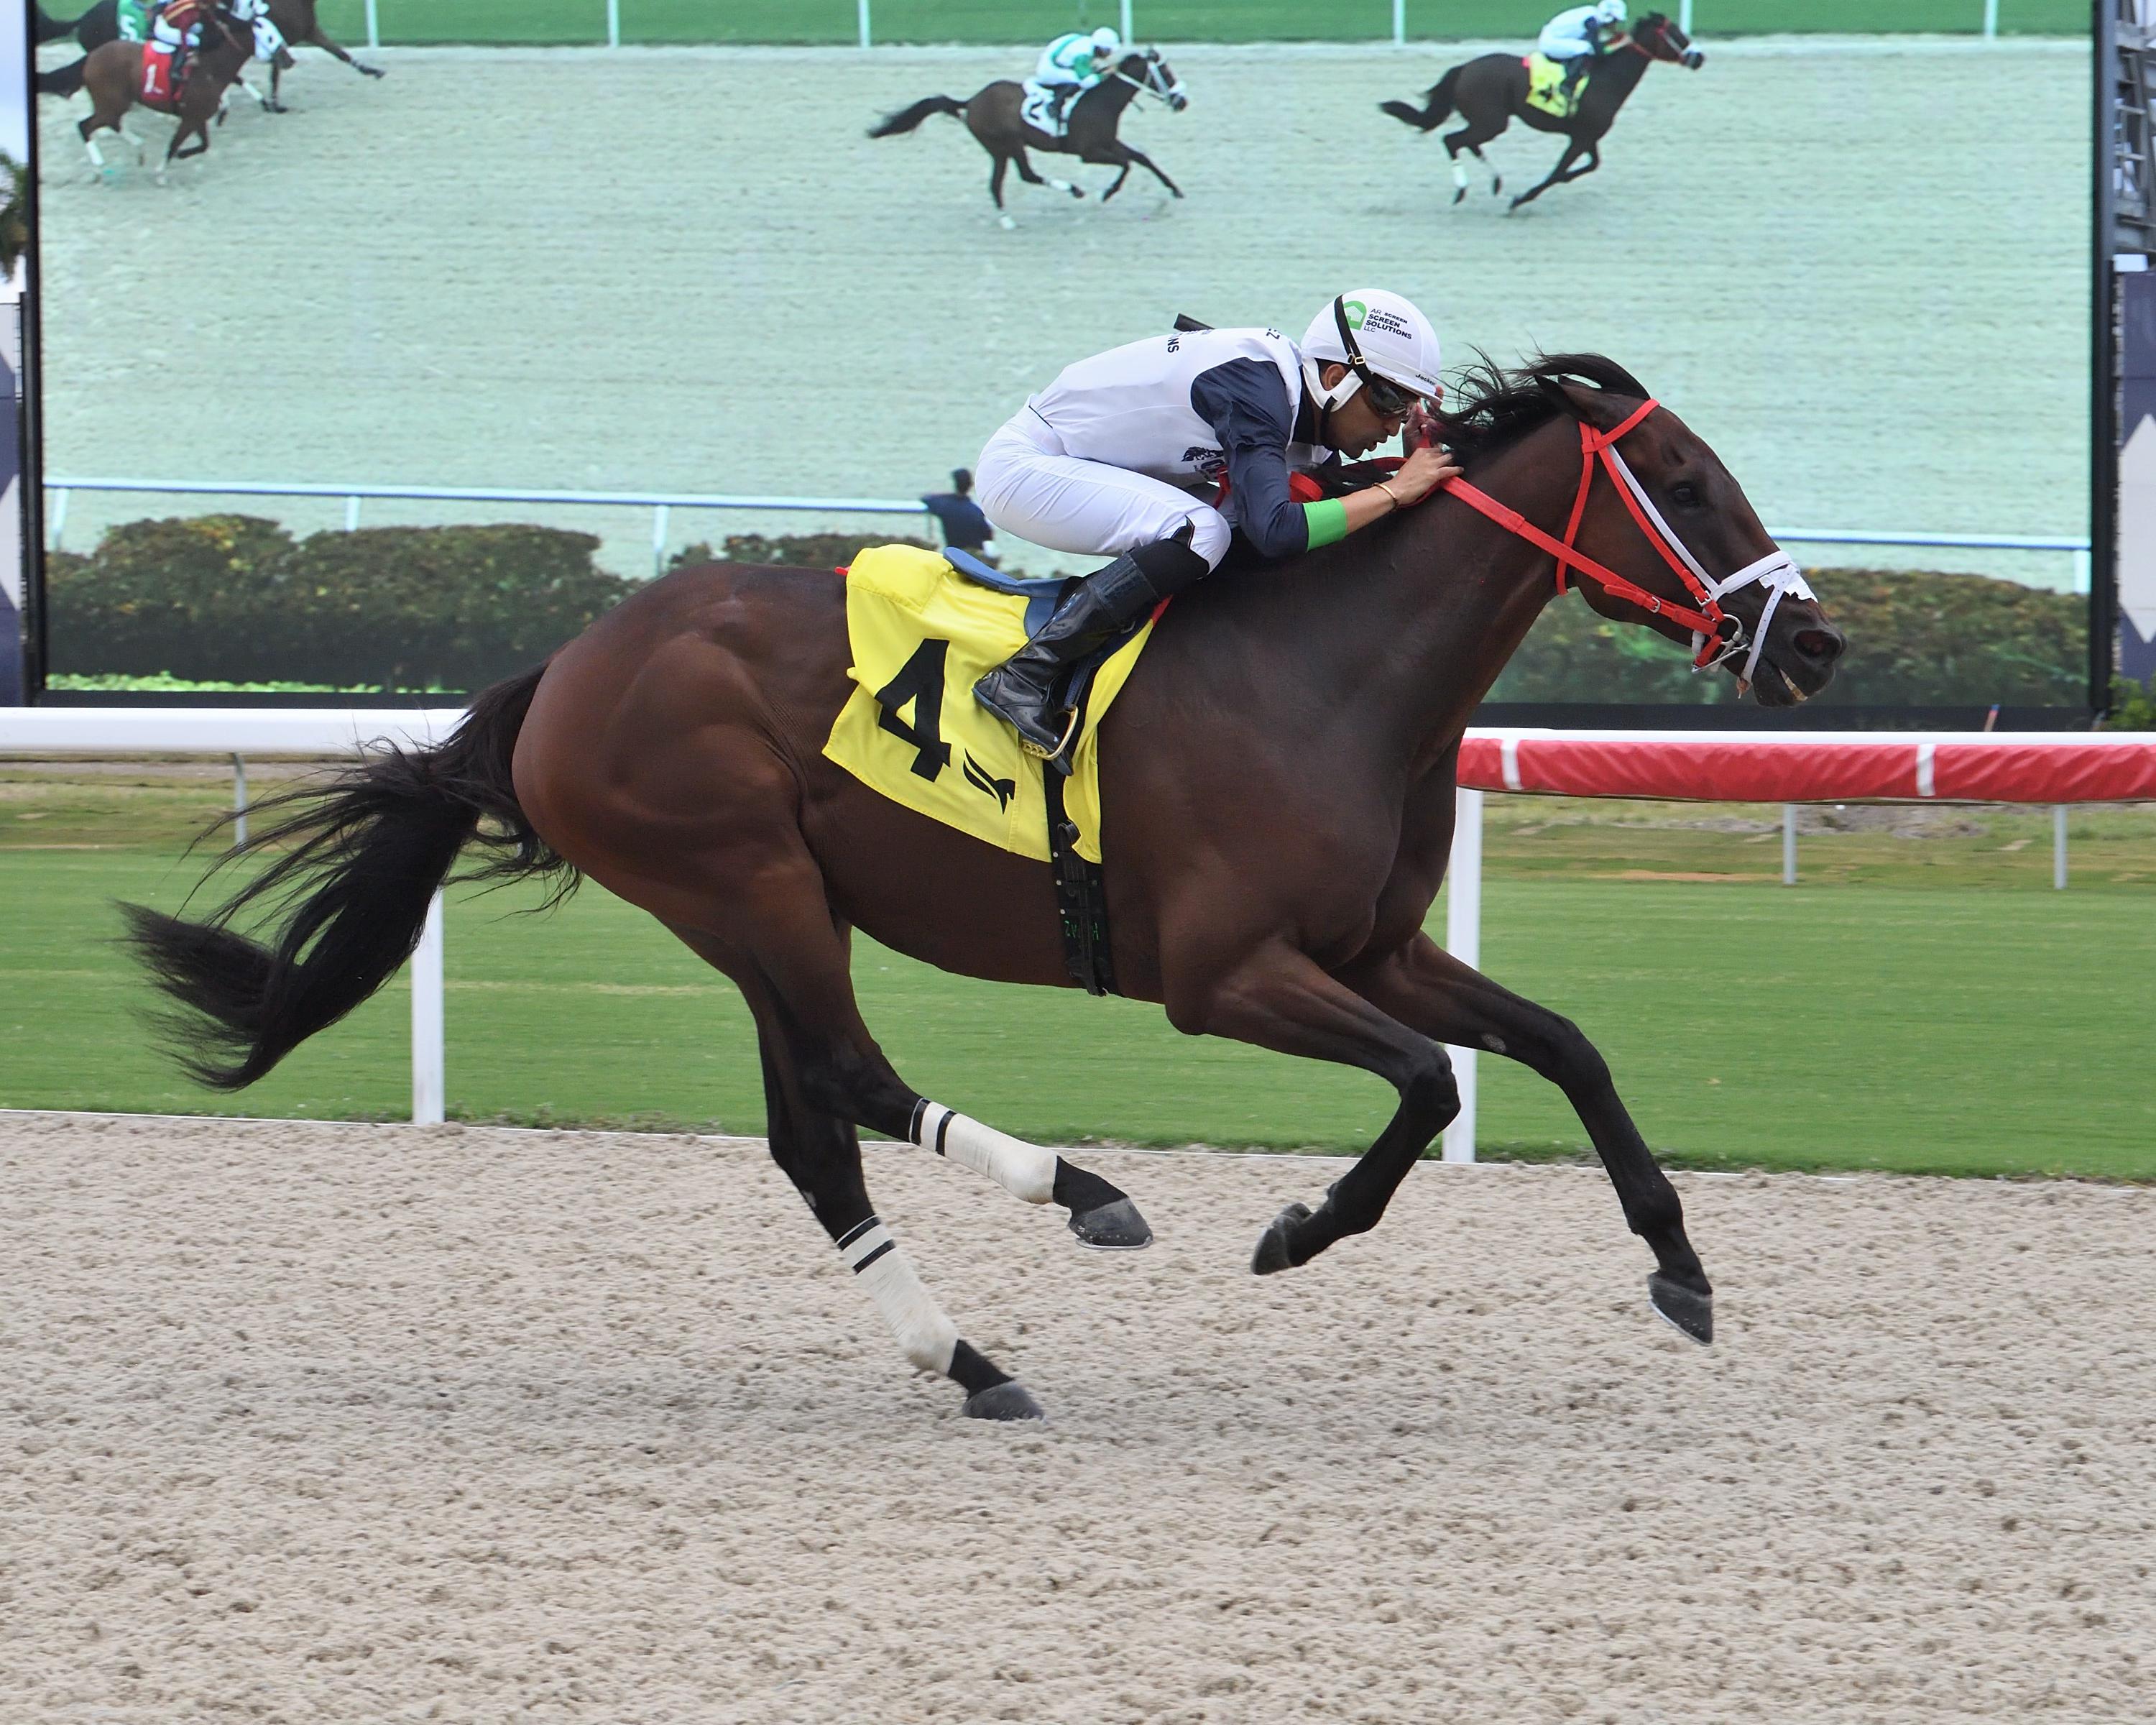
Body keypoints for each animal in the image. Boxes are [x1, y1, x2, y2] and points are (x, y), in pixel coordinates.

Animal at [126, 358, 1837, 1423]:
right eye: (1687, 479)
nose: (1814, 644)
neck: (1330, 674)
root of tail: (569, 665)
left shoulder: (1374, 948)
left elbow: (1560, 1046)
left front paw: (1681, 1267)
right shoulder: (1224, 976)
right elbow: (1425, 1085)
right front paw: (1296, 1229)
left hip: (761, 905)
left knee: (814, 1132)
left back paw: (968, 1356)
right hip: (744, 876)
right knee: (852, 1078)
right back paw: (1076, 1194)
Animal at [867, 45, 1190, 224]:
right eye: (1166, 73)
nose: (1182, 102)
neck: (1100, 101)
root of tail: (971, 102)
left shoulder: (1108, 142)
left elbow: (1141, 158)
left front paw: (1174, 191)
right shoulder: (1088, 153)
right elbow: (1126, 164)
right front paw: (1106, 193)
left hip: (1002, 148)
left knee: (1005, 181)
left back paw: (1011, 217)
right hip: (1006, 143)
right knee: (1023, 175)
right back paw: (1061, 196)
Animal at [1380, 9, 1699, 212]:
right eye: (1675, 33)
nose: (1699, 58)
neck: (1607, 78)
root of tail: (1465, 68)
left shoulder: (1587, 136)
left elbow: (1588, 166)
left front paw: (1550, 184)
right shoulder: (1580, 138)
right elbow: (1558, 171)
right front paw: (1521, 199)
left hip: (1488, 122)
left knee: (1467, 143)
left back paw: (1496, 182)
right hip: (1491, 121)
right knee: (1452, 140)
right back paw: (1462, 189)